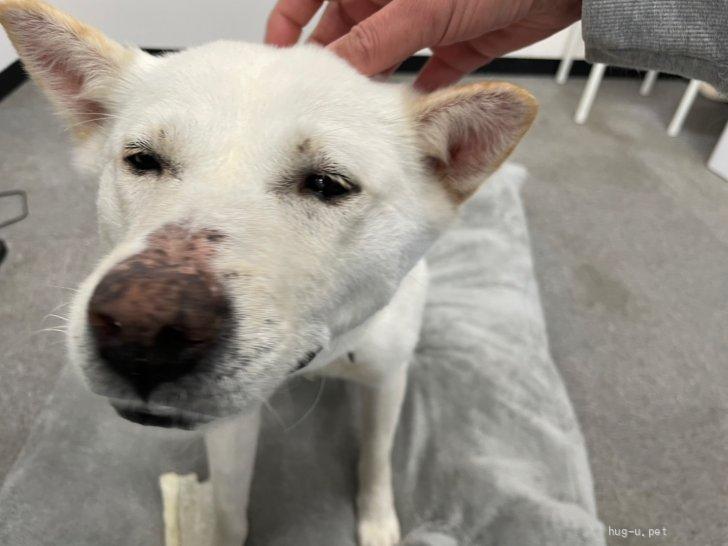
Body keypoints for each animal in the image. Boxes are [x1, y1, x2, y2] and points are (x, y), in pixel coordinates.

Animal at [0, 2, 537, 544]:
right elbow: (228, 508)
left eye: (327, 184)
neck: (326, 352)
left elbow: (377, 458)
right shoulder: (228, 426)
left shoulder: (386, 381)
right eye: (143, 160)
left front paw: (377, 517)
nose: (140, 332)